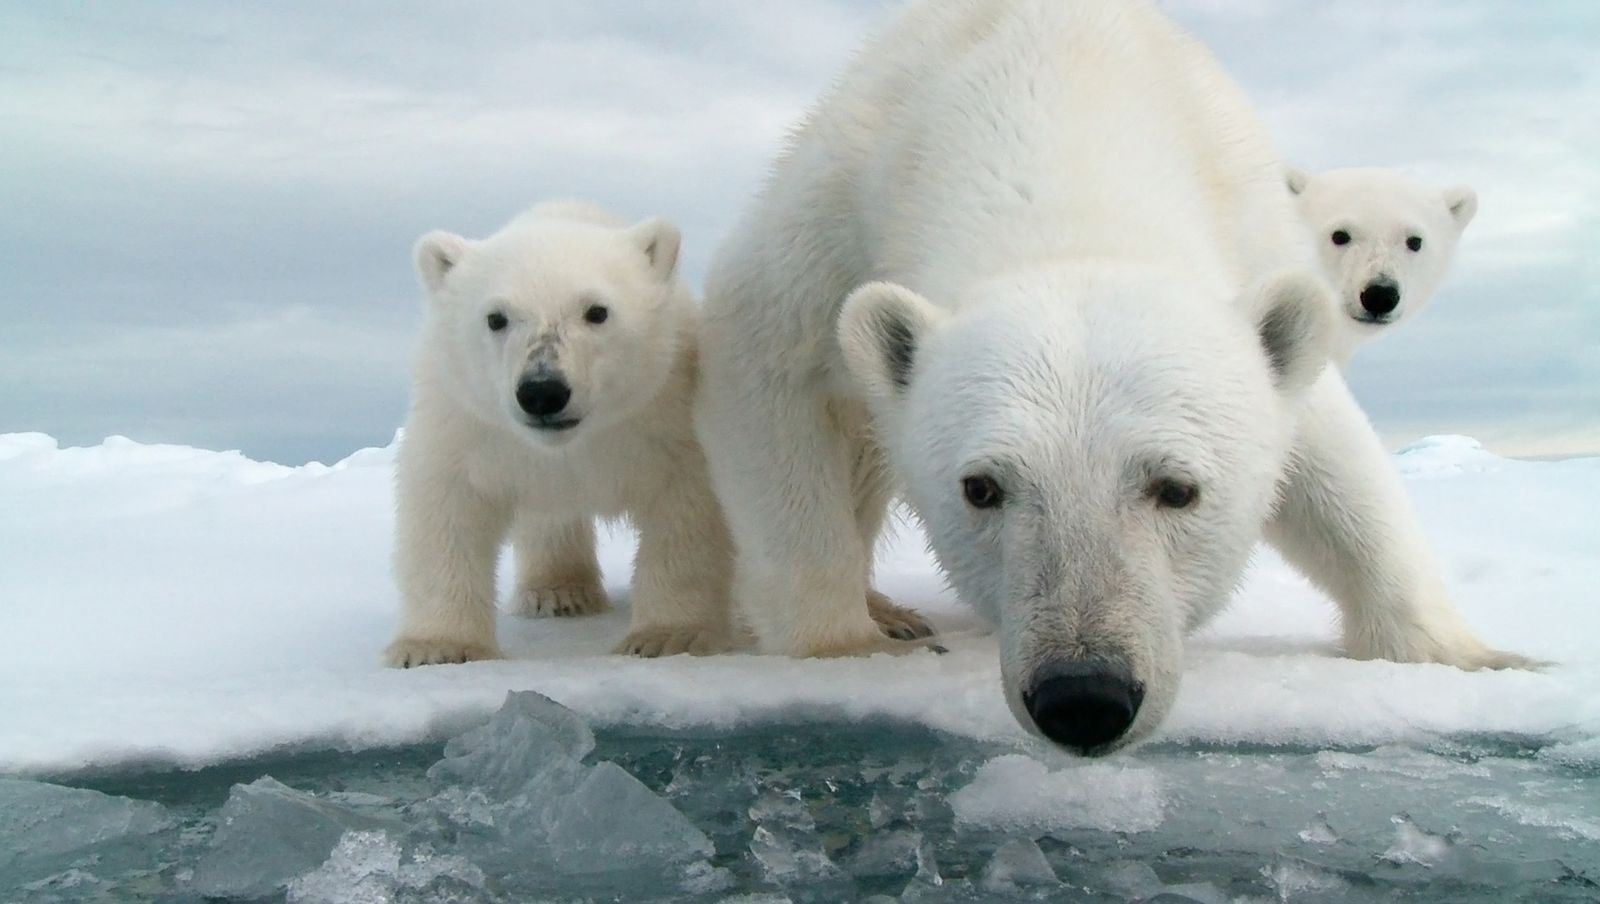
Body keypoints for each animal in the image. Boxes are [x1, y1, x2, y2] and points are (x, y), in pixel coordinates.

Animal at [384, 202, 733, 668]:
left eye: (597, 311)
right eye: (496, 317)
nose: (542, 391)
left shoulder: (664, 416)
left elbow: (685, 510)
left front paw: (668, 636)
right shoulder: (468, 425)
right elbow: (447, 509)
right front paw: (435, 647)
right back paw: (559, 592)